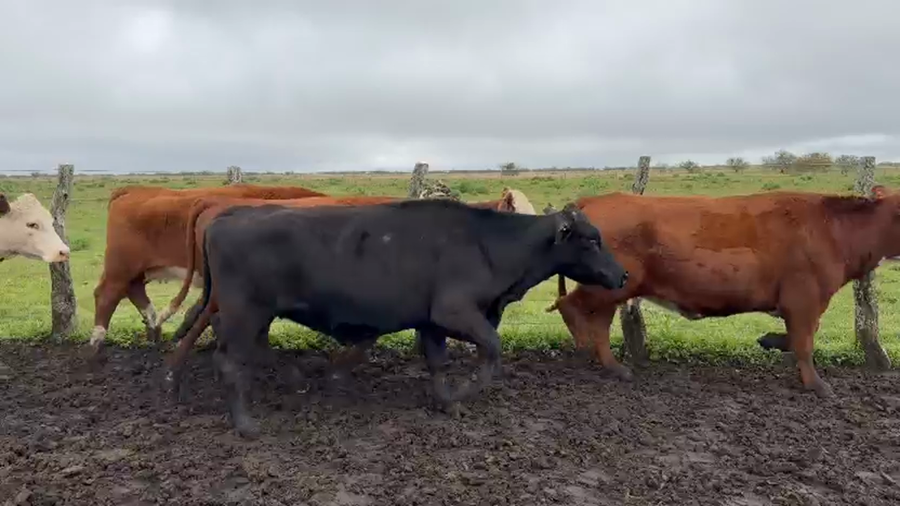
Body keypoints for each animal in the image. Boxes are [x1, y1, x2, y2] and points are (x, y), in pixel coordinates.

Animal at [89, 183, 328, 355]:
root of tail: (132, 189)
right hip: (120, 267)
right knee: (107, 295)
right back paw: (97, 342)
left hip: (138, 271)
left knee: (135, 292)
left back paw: (154, 331)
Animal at [167, 199, 627, 437]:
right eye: (591, 240)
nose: (622, 274)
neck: (488, 244)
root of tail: (231, 213)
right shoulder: (455, 310)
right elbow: (492, 351)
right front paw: (464, 392)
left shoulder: (431, 321)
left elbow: (438, 362)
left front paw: (446, 402)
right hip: (244, 312)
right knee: (229, 361)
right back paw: (247, 424)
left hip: (251, 314)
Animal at [546, 186, 900, 398]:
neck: (833, 230)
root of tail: (594, 200)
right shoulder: (804, 299)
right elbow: (804, 344)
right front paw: (817, 385)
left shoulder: (799, 304)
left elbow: (796, 339)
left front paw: (769, 340)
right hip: (612, 285)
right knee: (572, 306)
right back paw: (586, 348)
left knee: (596, 321)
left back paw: (614, 366)